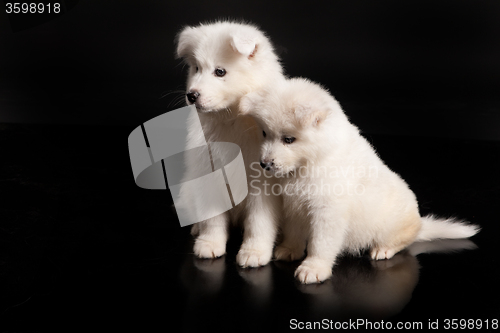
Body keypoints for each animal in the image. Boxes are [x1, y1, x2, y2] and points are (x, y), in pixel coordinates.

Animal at [176, 20, 286, 266]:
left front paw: (254, 251)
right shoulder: (209, 174)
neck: (231, 120)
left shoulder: (261, 184)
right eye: (196, 69)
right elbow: (213, 217)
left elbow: (259, 221)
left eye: (220, 72)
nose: (191, 95)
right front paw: (210, 243)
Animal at [240, 77, 478, 282]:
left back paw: (383, 249)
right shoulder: (282, 200)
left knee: (404, 237)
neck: (306, 165)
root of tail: (420, 223)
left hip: (394, 224)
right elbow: (277, 228)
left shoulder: (328, 210)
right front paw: (278, 250)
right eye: (264, 133)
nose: (264, 164)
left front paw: (314, 268)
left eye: (289, 139)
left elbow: (321, 242)